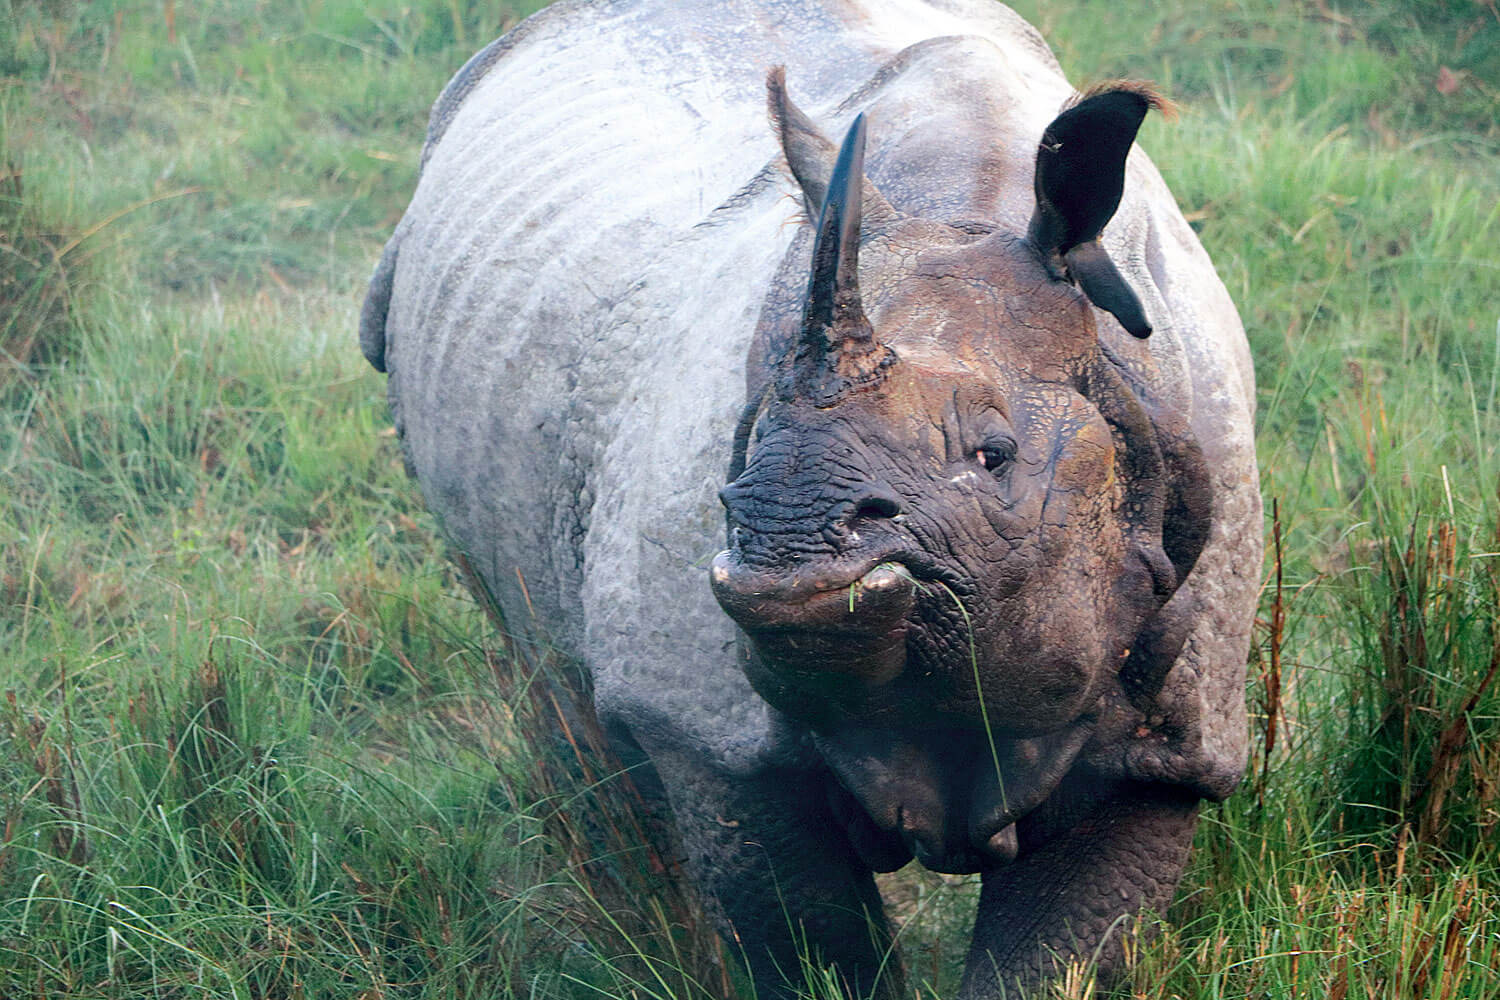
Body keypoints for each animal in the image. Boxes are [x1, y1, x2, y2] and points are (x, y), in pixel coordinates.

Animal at [359, 0, 1261, 995]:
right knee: (550, 671)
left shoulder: (1168, 752)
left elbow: (1060, 955)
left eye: (995, 457)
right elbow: (812, 949)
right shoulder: (715, 746)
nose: (789, 558)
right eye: (750, 442)